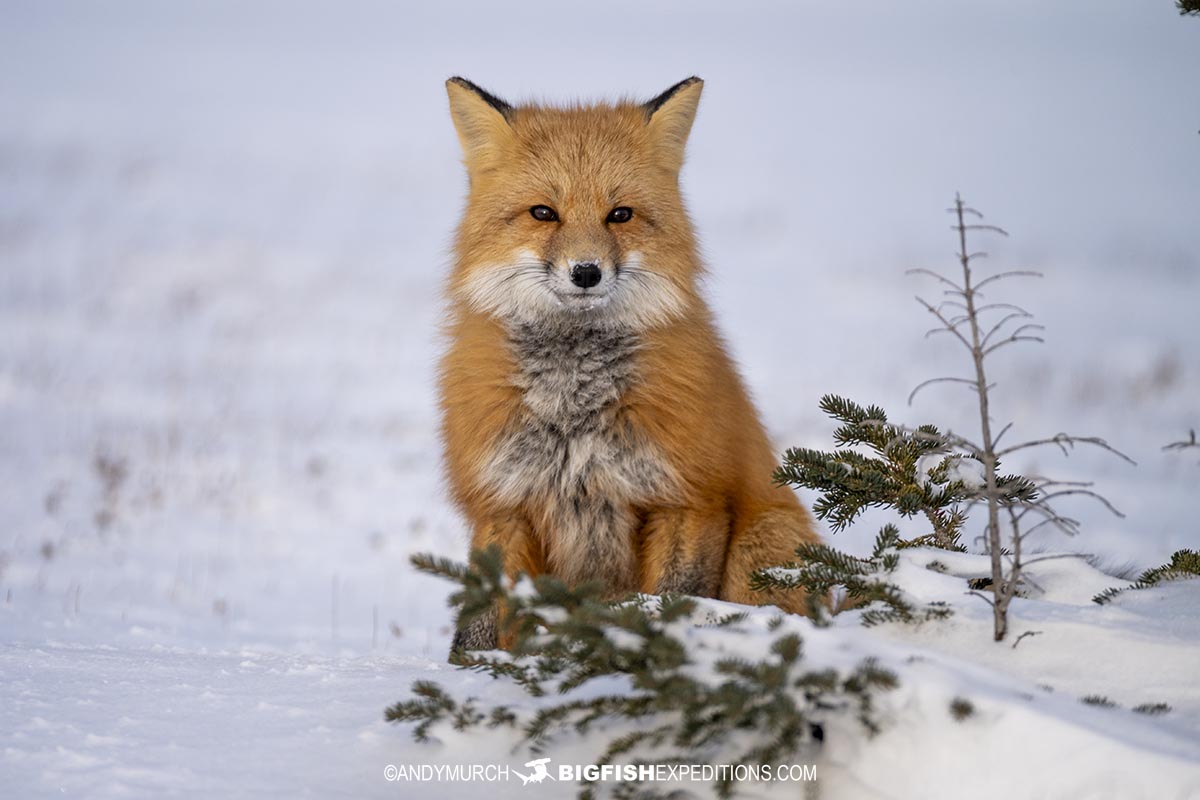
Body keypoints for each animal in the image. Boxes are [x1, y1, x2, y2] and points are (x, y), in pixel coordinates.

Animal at [439, 76, 821, 650]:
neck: (573, 404)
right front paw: (471, 671)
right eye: (543, 212)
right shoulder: (502, 502)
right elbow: (478, 628)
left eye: (619, 214)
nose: (586, 272)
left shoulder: (690, 499)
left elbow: (672, 603)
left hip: (766, 541)